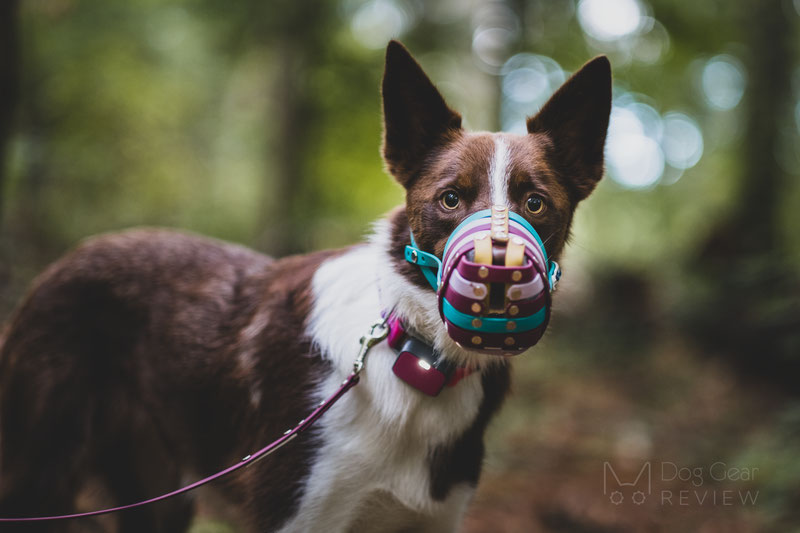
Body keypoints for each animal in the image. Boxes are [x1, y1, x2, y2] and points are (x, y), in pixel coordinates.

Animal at [0, 41, 608, 532]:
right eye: (450, 199)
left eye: (535, 204)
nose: (498, 274)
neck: (415, 358)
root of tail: (69, 257)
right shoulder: (300, 511)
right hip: (43, 473)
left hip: (157, 495)